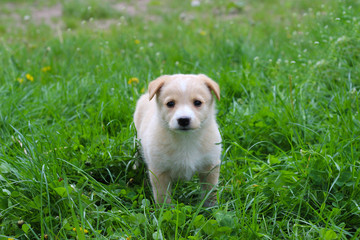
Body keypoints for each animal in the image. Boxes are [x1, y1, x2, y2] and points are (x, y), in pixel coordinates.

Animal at [134, 73, 221, 206]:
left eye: (197, 102)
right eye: (170, 103)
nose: (183, 120)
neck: (185, 139)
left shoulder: (210, 166)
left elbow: (210, 192)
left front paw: (210, 208)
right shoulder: (159, 171)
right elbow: (163, 197)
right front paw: (165, 210)